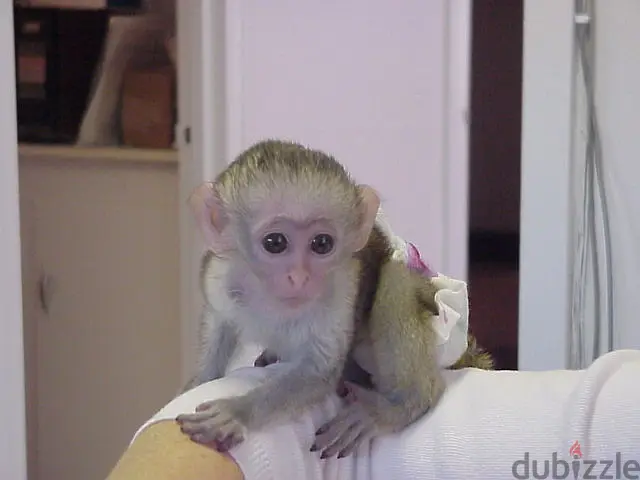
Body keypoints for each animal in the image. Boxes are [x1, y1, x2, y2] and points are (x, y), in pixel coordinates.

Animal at [175, 139, 493, 459]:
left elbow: (319, 371)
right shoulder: (219, 276)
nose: (299, 277)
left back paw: (401, 405)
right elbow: (218, 326)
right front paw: (197, 383)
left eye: (322, 243)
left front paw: (238, 412)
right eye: (275, 243)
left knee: (395, 280)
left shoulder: (343, 284)